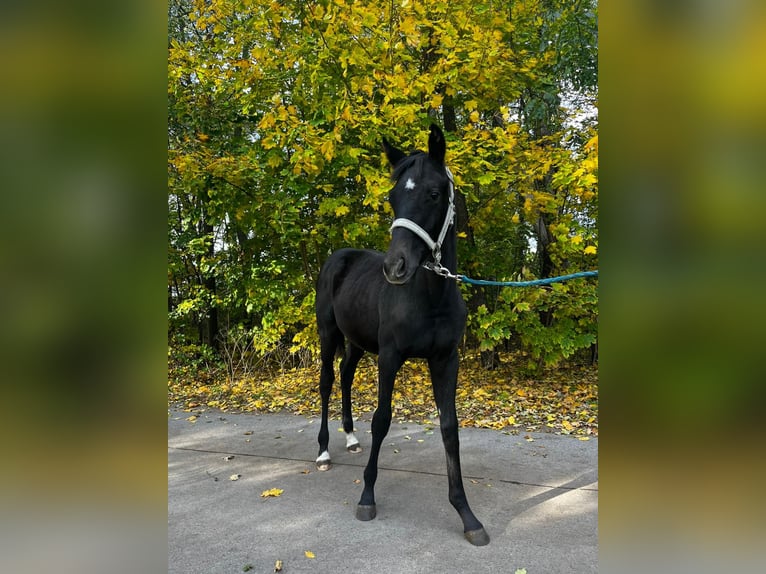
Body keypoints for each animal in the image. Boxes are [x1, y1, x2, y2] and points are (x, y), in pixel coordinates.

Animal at [313, 124, 489, 546]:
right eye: (393, 197)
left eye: (434, 193)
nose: (396, 267)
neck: (431, 296)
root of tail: (338, 257)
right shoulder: (391, 356)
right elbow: (382, 419)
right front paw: (366, 497)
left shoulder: (446, 361)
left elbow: (449, 427)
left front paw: (467, 514)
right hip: (328, 334)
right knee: (327, 381)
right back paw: (324, 452)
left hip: (358, 344)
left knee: (345, 375)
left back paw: (350, 438)